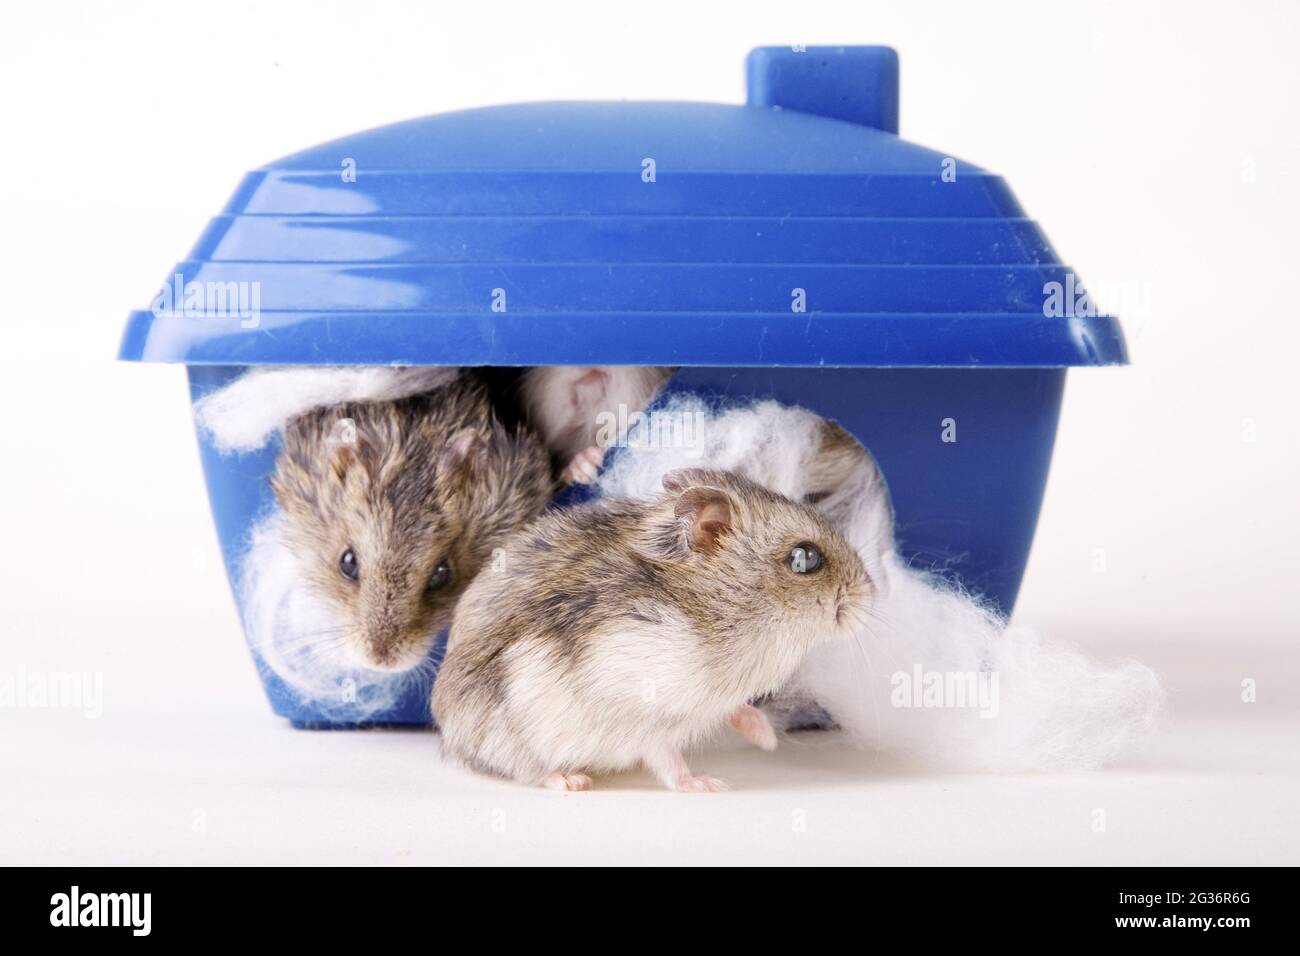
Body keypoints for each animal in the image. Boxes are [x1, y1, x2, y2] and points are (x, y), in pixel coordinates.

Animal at [434, 468, 873, 790]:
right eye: (804, 558)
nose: (871, 594)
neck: (714, 609)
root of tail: (448, 728)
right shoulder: (640, 704)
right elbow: (666, 756)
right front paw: (706, 784)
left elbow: (737, 708)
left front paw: (766, 738)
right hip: (512, 733)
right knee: (525, 768)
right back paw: (571, 781)